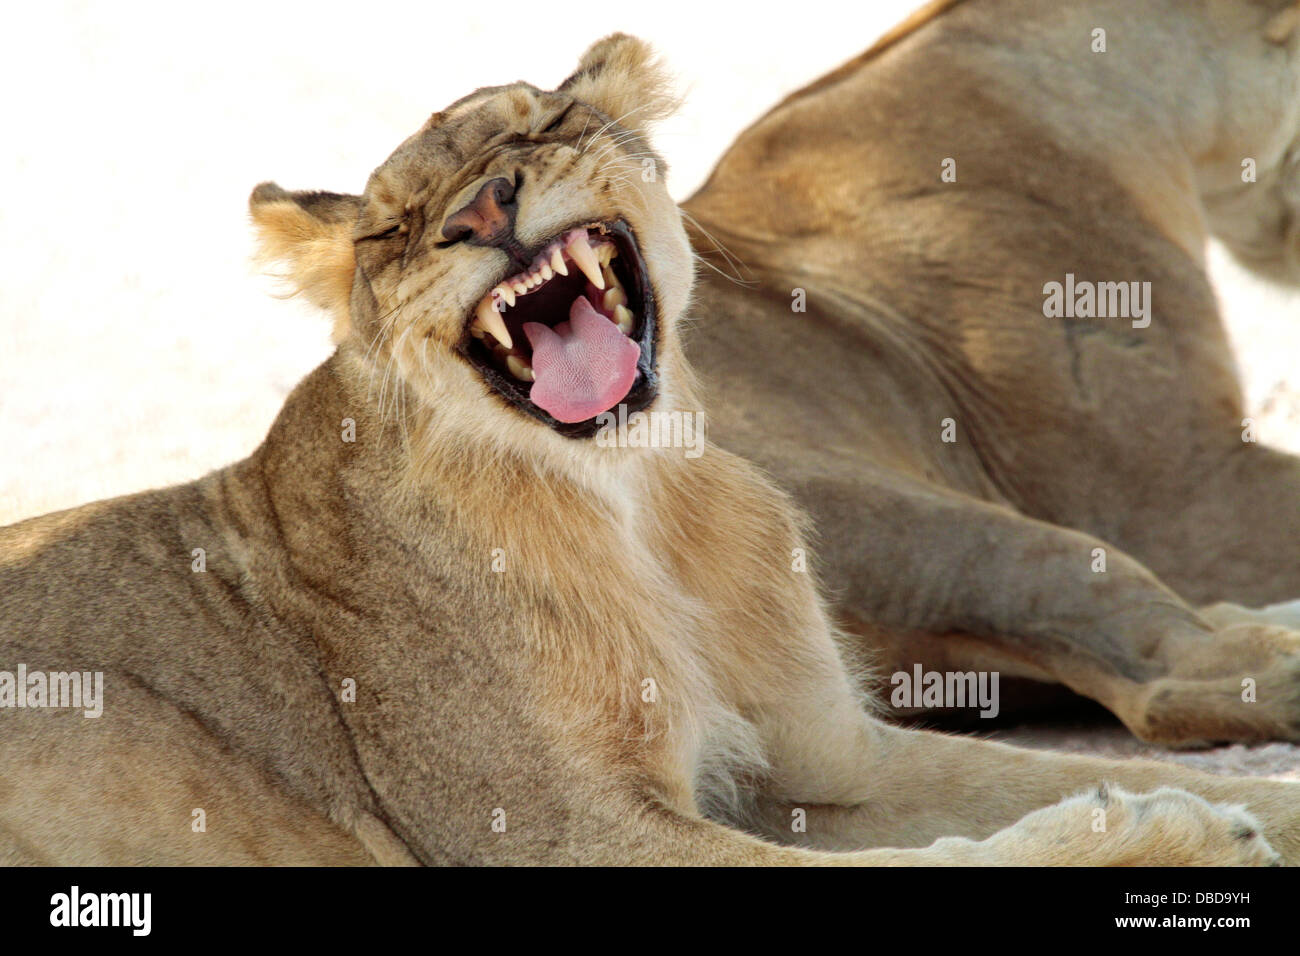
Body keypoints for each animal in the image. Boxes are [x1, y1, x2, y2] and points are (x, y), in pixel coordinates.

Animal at [0, 24, 1296, 865]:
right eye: (393, 228)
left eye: (544, 125)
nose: (480, 209)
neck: (637, 504)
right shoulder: (552, 833)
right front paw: (1164, 839)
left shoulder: (828, 765)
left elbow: (1078, 771)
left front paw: (1227, 810)